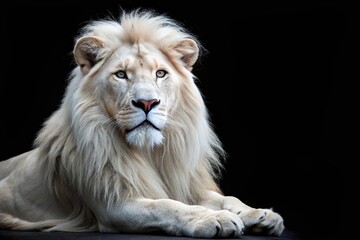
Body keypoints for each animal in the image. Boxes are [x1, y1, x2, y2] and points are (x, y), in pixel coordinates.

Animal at [1, 8, 286, 237]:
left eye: (160, 73)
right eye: (120, 75)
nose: (147, 103)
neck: (150, 152)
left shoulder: (185, 185)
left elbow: (226, 197)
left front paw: (259, 214)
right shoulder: (114, 205)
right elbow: (165, 206)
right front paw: (212, 219)